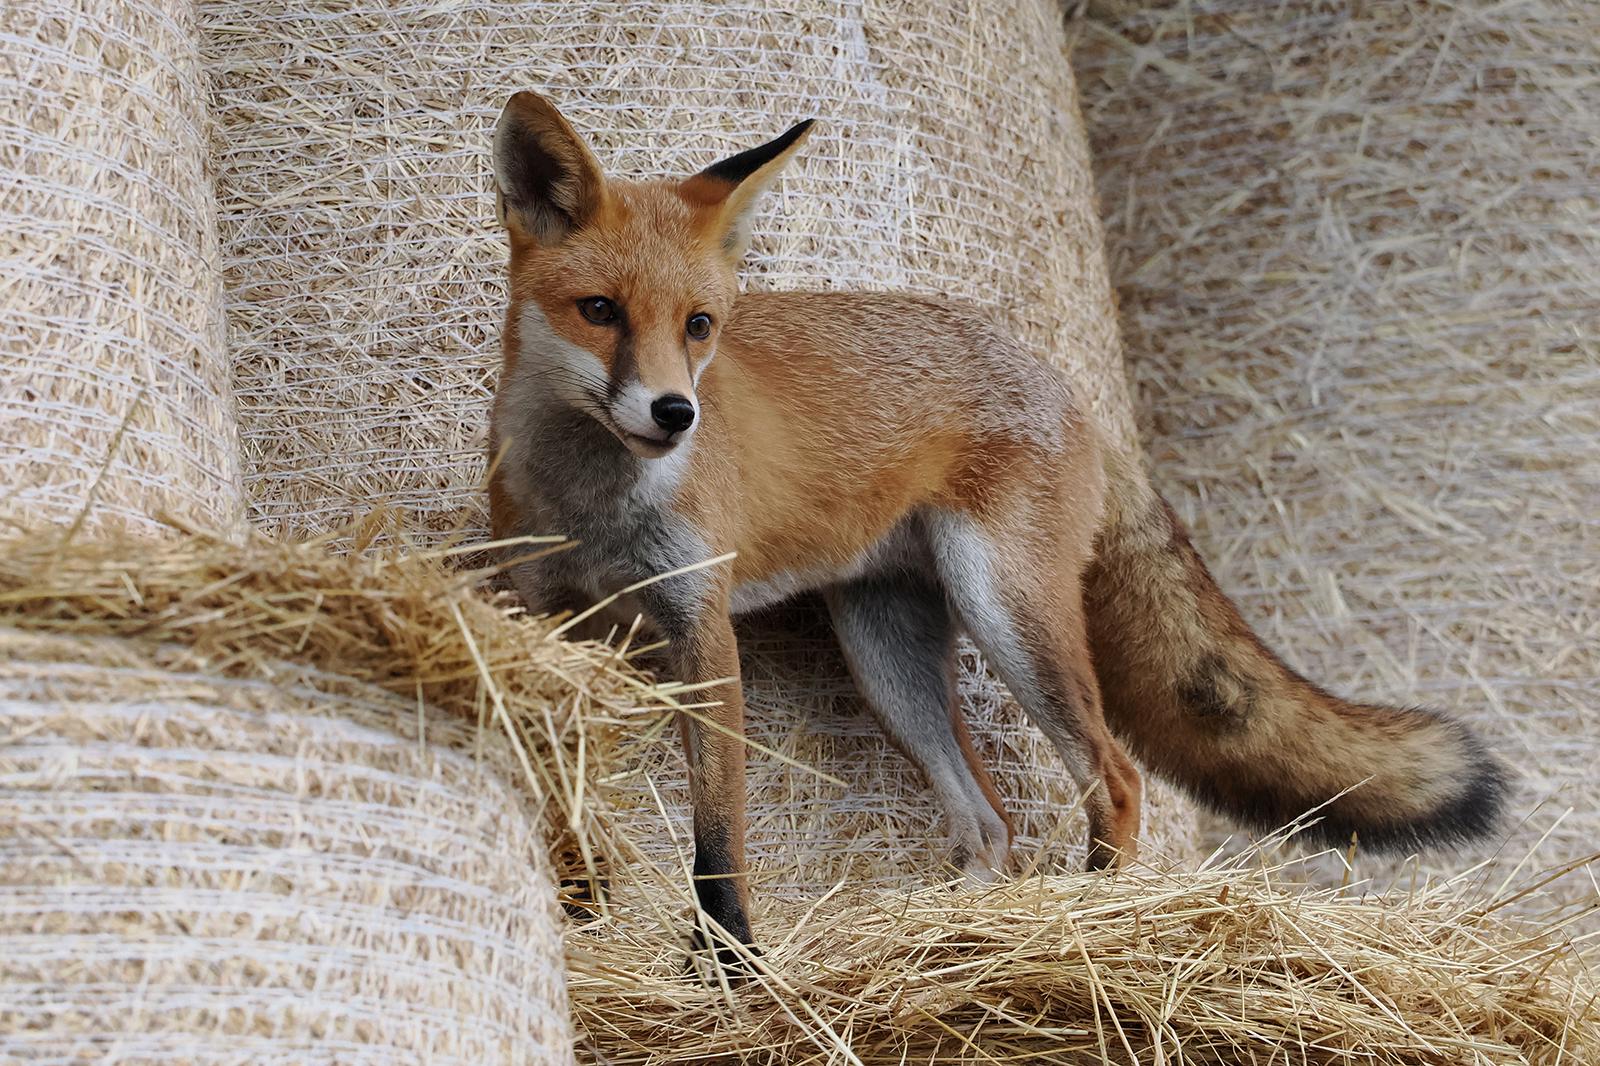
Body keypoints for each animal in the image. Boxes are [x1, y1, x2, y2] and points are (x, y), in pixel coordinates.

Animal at [486, 91, 1507, 965]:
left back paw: (1086, 917)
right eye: (601, 311)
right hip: (888, 652)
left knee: (1114, 779)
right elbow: (559, 781)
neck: (593, 506)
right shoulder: (548, 623)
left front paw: (732, 966)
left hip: (1006, 611)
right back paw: (956, 932)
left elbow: (719, 835)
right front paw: (580, 908)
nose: (674, 415)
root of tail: (1064, 381)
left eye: (700, 325)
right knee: (990, 824)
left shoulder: (701, 623)